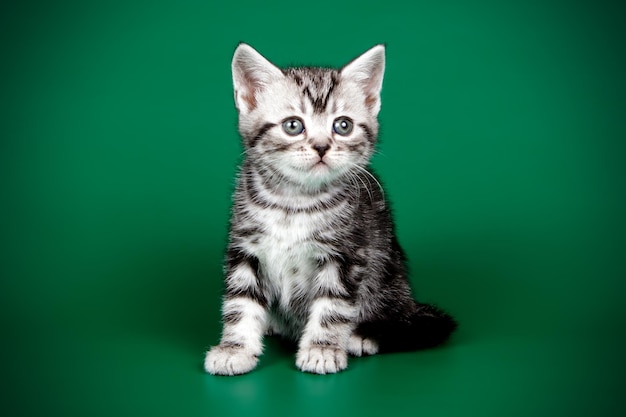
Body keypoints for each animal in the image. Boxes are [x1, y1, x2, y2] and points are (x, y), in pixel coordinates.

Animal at [204, 44, 454, 376]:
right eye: (293, 125)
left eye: (343, 125)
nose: (322, 146)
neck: (294, 202)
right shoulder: (246, 248)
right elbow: (240, 302)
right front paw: (235, 348)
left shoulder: (346, 254)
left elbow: (332, 306)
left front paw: (322, 348)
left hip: (388, 276)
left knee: (396, 320)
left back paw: (361, 337)